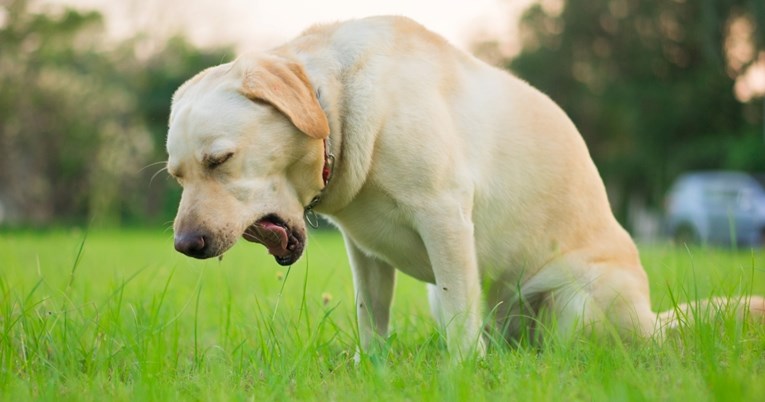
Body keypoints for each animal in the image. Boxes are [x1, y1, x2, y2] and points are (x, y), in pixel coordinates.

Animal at [164, 15, 760, 356]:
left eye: (220, 160)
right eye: (177, 174)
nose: (186, 245)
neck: (335, 102)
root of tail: (652, 324)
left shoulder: (444, 217)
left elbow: (457, 321)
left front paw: (459, 374)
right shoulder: (364, 253)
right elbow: (371, 319)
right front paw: (372, 370)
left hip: (578, 301)